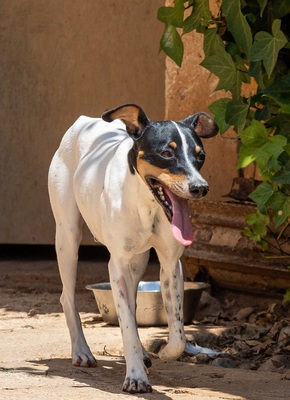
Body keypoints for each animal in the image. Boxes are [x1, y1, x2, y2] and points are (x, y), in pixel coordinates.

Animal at [48, 104, 218, 394]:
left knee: (134, 300)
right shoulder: (116, 266)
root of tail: (84, 120)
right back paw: (81, 351)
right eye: (166, 153)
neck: (147, 205)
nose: (200, 188)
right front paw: (136, 376)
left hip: (138, 262)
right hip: (67, 236)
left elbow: (177, 332)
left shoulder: (171, 263)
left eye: (201, 156)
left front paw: (164, 352)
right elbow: (126, 324)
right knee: (67, 297)